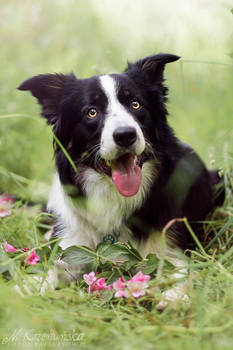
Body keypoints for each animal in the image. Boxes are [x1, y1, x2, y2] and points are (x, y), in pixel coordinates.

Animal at [18, 54, 224, 304]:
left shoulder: (170, 245)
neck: (114, 195)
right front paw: (24, 289)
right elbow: (50, 269)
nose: (125, 135)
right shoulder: (72, 246)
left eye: (136, 104)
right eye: (91, 112)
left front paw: (173, 297)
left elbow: (180, 270)